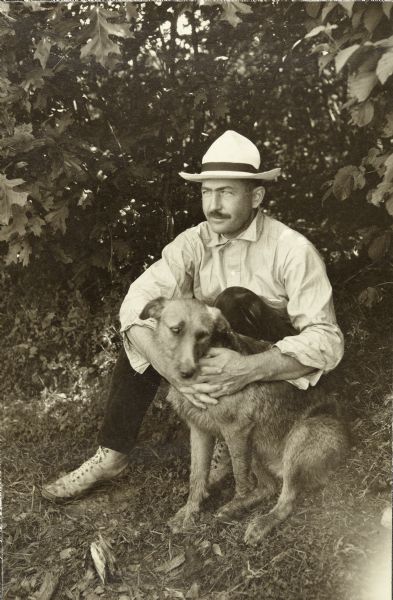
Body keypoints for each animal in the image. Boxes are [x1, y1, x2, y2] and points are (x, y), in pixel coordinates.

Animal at [139, 298, 348, 548]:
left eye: (202, 335)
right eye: (176, 330)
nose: (187, 373)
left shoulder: (235, 430)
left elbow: (240, 479)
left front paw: (237, 503)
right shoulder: (199, 430)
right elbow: (196, 476)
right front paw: (190, 512)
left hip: (299, 437)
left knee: (285, 499)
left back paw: (260, 521)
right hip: (255, 443)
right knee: (268, 487)